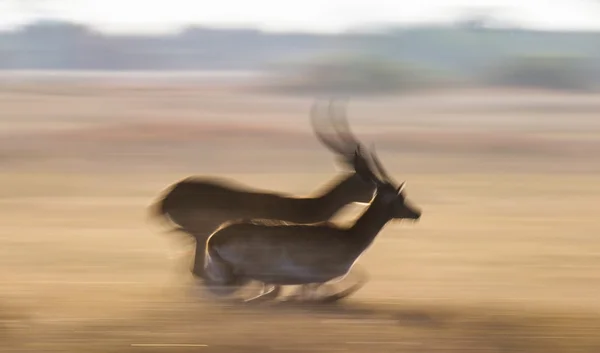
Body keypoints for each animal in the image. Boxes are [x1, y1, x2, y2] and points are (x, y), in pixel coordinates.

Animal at [199, 106, 420, 302]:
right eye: (400, 196)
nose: (416, 213)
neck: (348, 237)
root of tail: (214, 238)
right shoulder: (313, 283)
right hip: (239, 277)